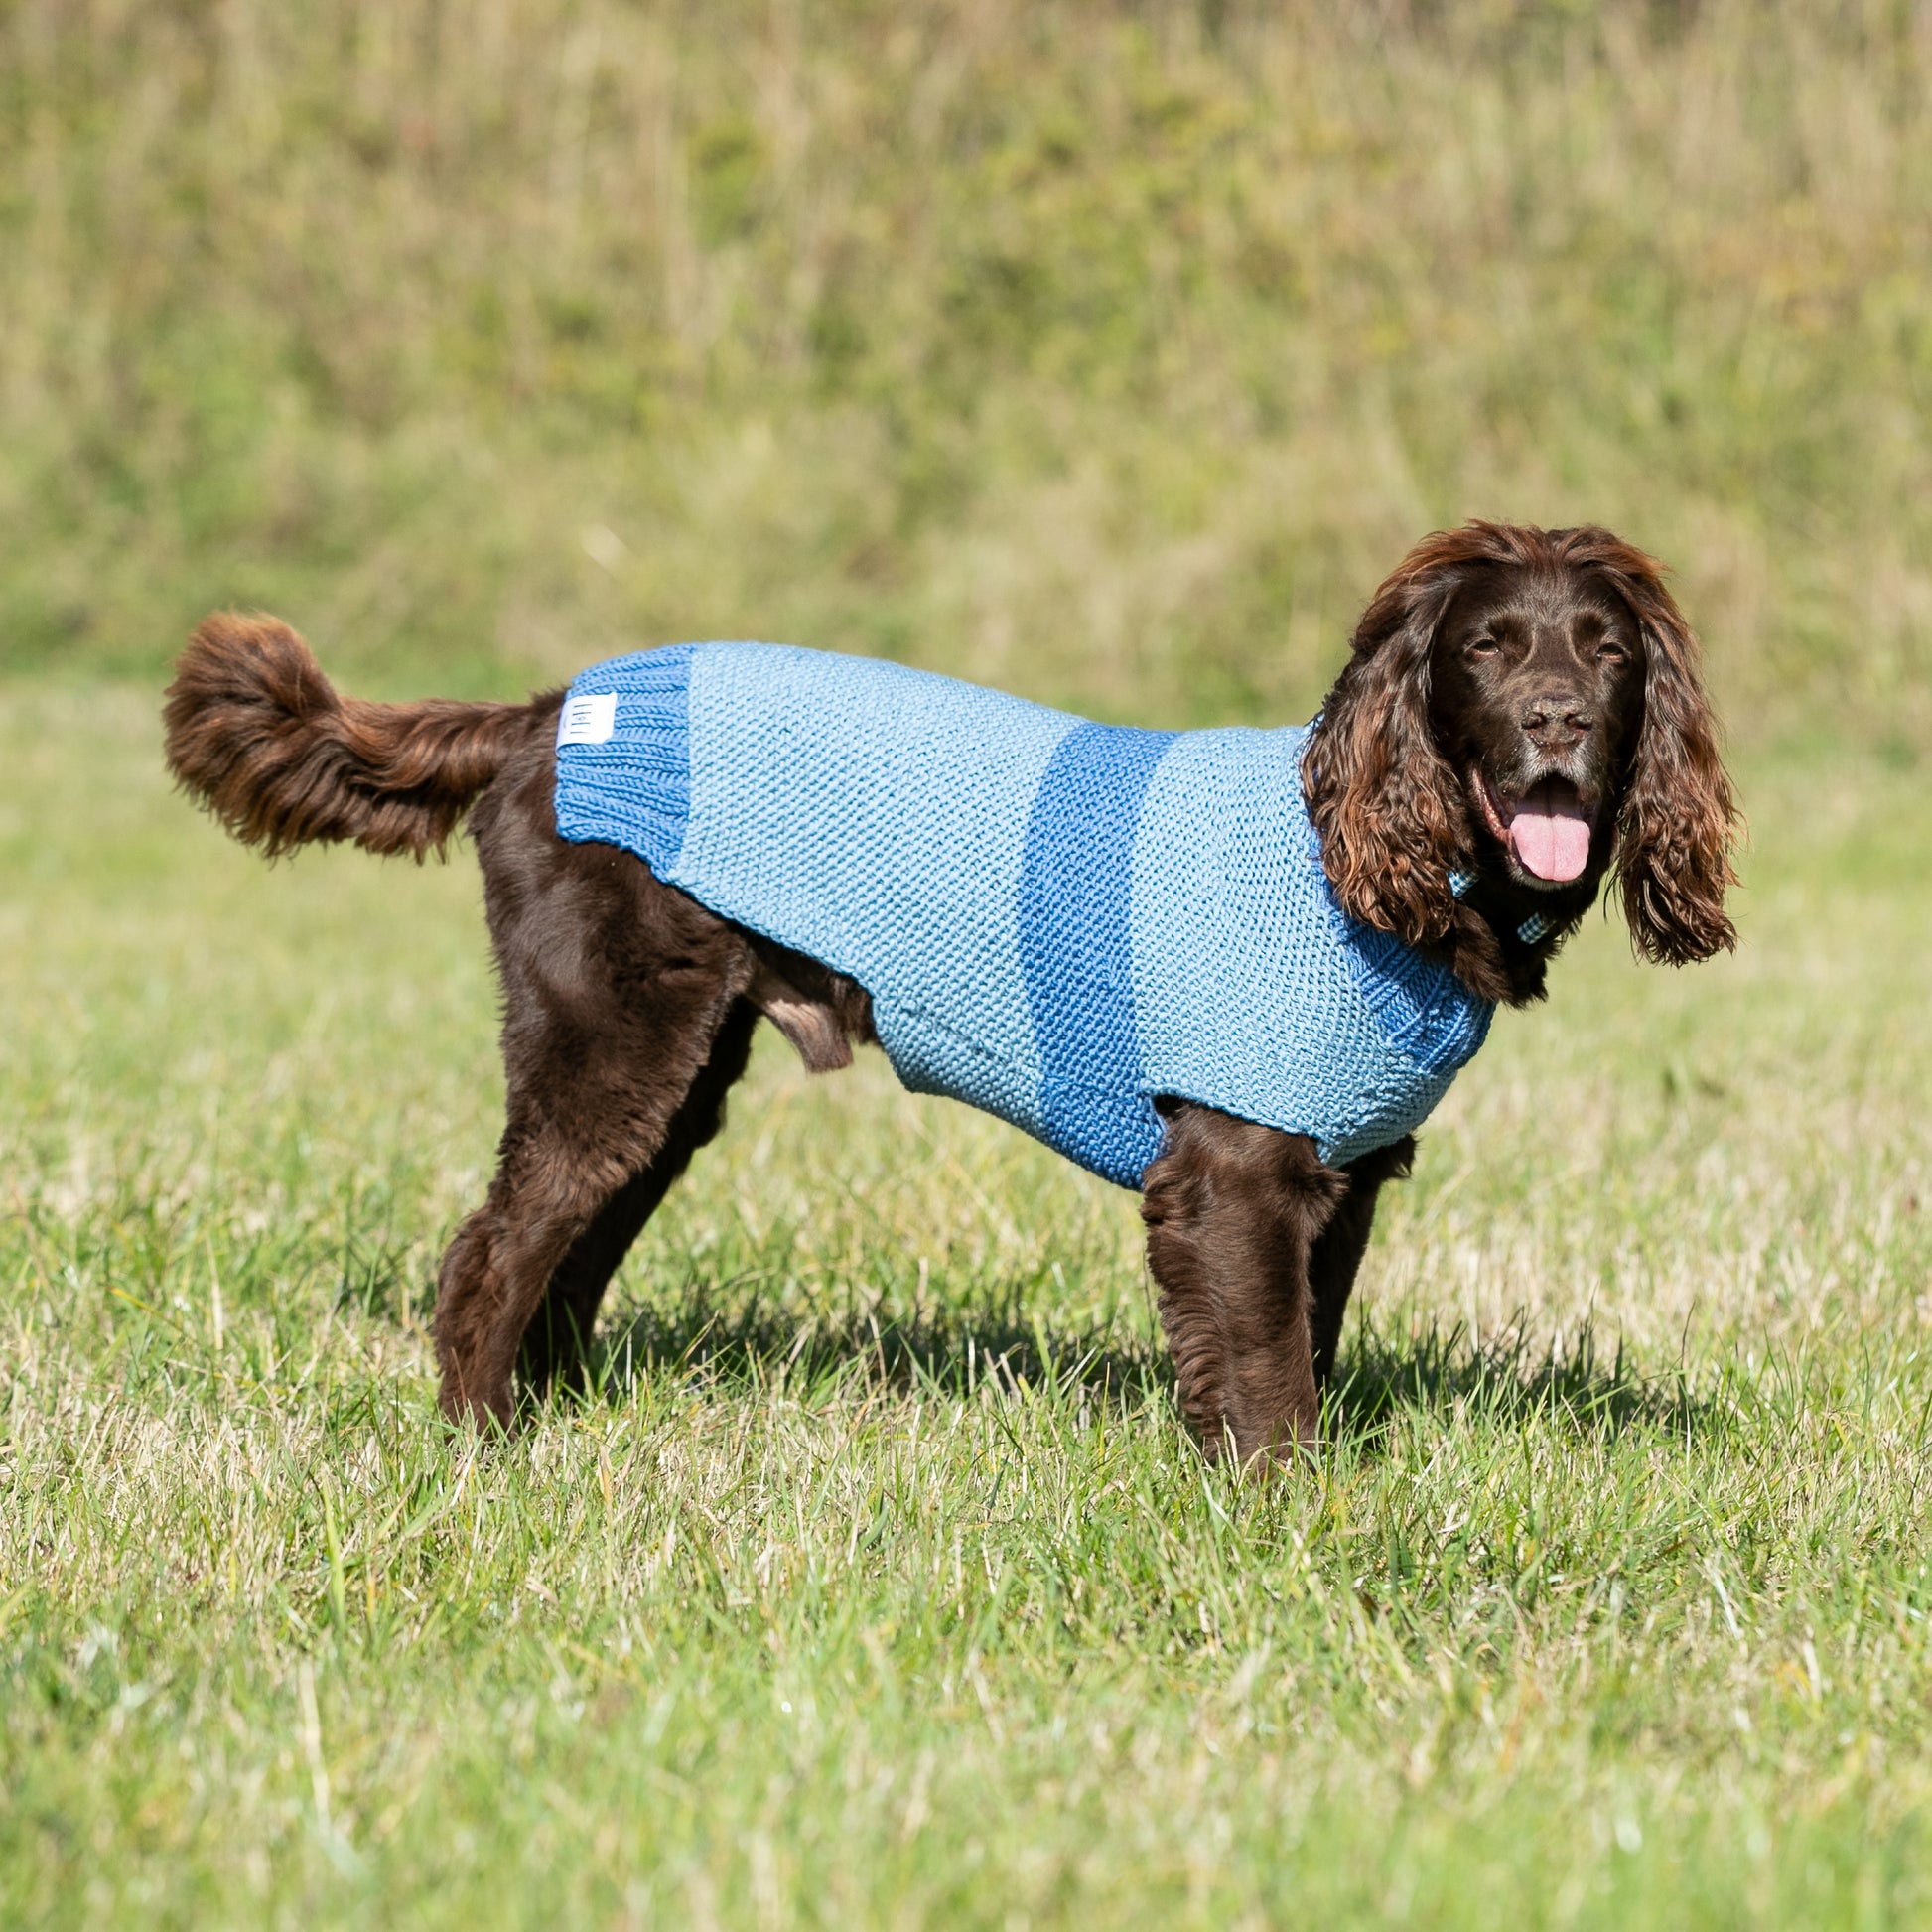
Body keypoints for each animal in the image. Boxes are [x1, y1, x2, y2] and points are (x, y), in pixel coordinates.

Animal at [162, 525, 1738, 1460]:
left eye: (1606, 652)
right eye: (1484, 648)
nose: (1557, 728)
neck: (1370, 862)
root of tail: (544, 711)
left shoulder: (1336, 1174)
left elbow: (1305, 1341)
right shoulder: (1232, 1167)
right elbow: (1267, 1377)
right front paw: (1289, 1526)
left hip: (672, 1073)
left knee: (571, 1246)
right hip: (609, 1035)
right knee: (491, 1251)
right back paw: (482, 1449)